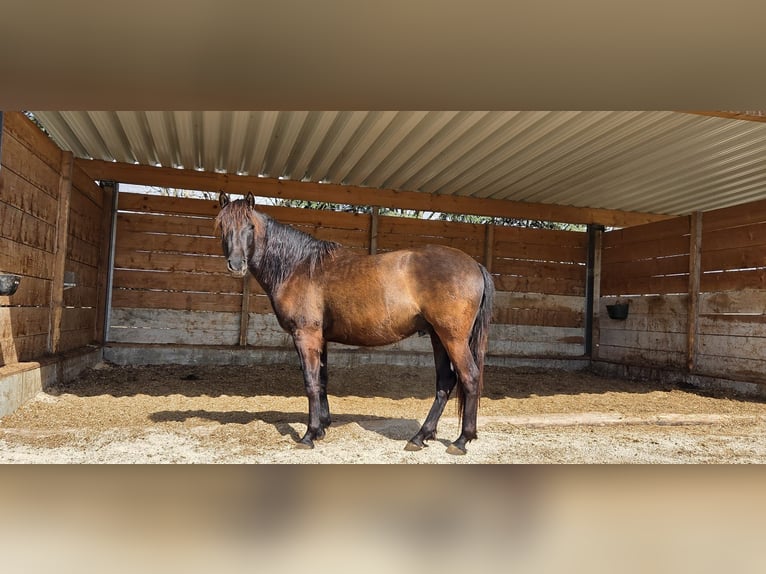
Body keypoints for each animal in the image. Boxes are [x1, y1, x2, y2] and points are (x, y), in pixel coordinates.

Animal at [215, 192, 494, 454]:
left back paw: (461, 441)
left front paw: (309, 435)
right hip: (438, 336)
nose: (236, 265)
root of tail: (475, 265)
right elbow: (322, 380)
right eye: (222, 226)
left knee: (469, 377)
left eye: (249, 226)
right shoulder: (321, 338)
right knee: (445, 382)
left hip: (453, 338)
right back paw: (420, 437)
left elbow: (310, 382)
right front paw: (322, 428)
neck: (298, 268)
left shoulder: (305, 335)